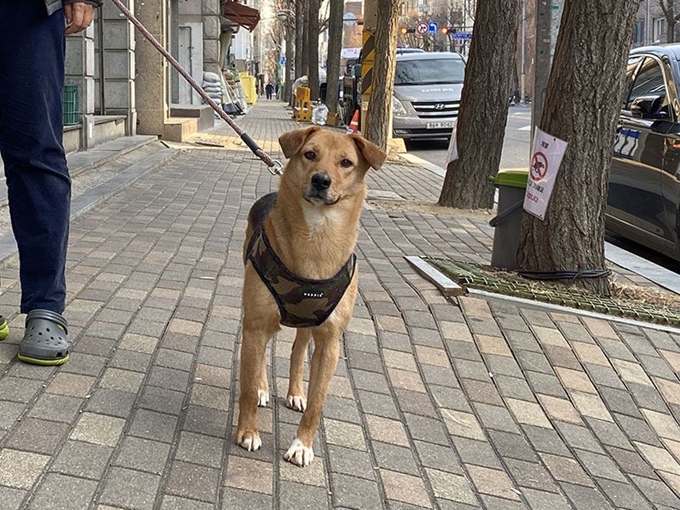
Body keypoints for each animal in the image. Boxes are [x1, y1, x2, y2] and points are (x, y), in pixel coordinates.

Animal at [238, 125, 388, 464]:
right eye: (310, 154)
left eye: (346, 162)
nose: (321, 180)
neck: (317, 237)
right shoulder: (254, 325)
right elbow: (248, 388)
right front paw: (248, 432)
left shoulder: (330, 341)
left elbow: (318, 402)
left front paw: (302, 445)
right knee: (265, 353)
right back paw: (265, 388)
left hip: (308, 324)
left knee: (297, 352)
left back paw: (295, 392)